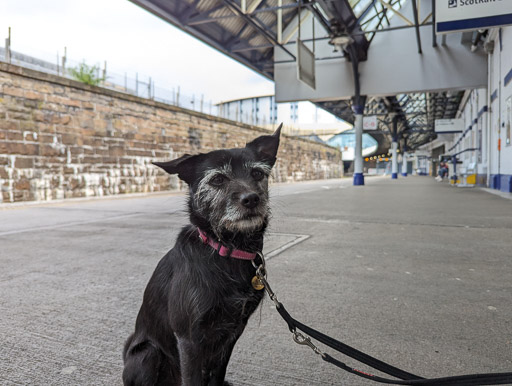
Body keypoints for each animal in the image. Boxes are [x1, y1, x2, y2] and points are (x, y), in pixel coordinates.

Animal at [123, 125, 282, 384]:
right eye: (217, 179)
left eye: (257, 173)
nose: (251, 199)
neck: (226, 251)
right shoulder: (189, 339)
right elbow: (193, 378)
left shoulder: (233, 333)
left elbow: (218, 373)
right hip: (148, 354)